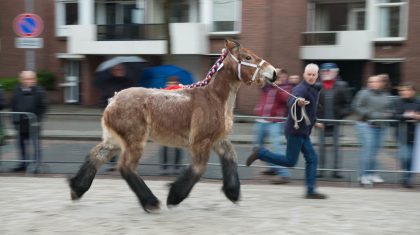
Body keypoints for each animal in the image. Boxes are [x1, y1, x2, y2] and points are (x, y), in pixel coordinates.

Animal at [67, 39, 278, 212]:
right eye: (248, 57)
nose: (273, 72)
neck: (214, 98)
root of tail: (113, 100)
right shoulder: (201, 142)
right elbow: (198, 169)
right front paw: (174, 196)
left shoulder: (219, 140)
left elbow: (231, 159)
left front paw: (233, 192)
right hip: (134, 141)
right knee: (126, 167)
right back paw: (151, 202)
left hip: (114, 141)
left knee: (95, 157)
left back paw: (77, 188)